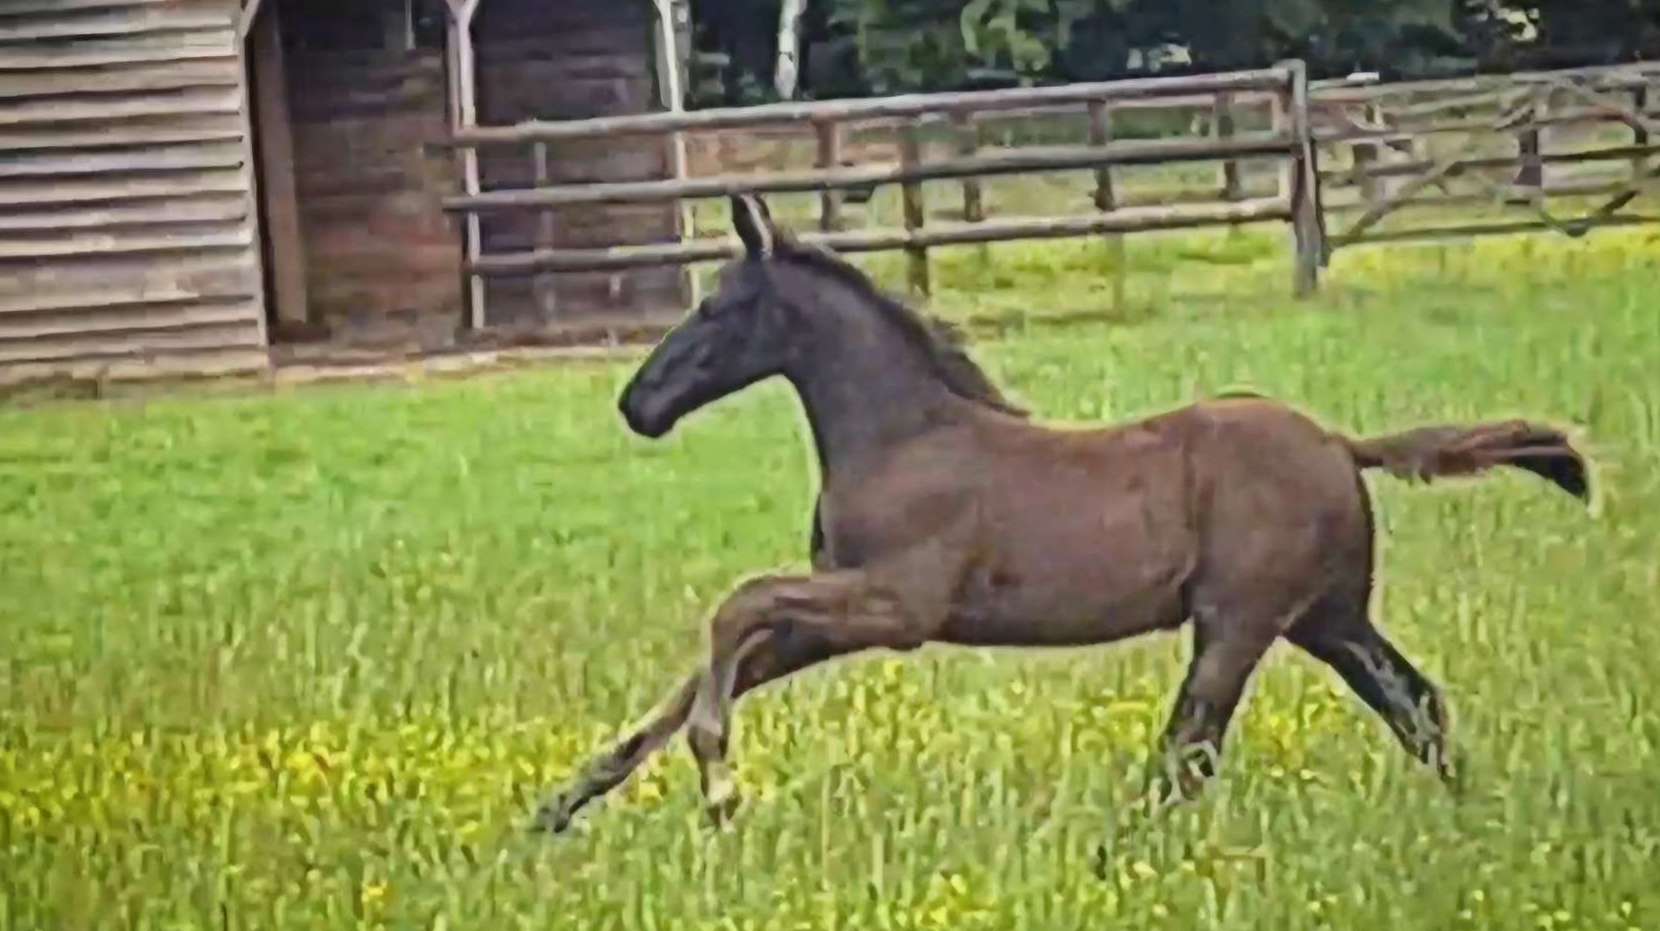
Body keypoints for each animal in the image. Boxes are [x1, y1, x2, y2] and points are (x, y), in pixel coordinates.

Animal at [535, 194, 1589, 834]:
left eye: (718, 308)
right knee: (1416, 704)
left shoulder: (900, 605)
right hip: (1328, 619)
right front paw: (562, 803)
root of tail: (1340, 442)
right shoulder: (840, 608)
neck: (902, 433)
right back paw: (1468, 813)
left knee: (1190, 749)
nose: (638, 403)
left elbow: (736, 608)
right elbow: (710, 664)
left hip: (1239, 622)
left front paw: (720, 783)